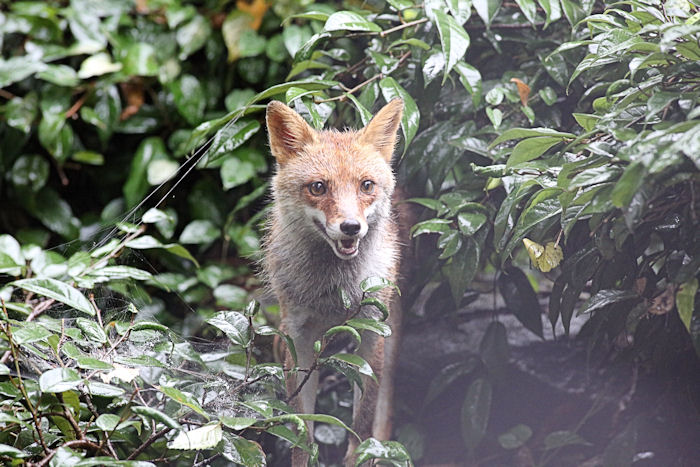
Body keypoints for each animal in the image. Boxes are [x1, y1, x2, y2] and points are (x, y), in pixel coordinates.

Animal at [262, 97, 404, 466]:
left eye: (366, 185)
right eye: (318, 187)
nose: (351, 227)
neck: (333, 293)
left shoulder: (372, 334)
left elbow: (362, 425)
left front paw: (360, 457)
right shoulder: (298, 339)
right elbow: (302, 433)